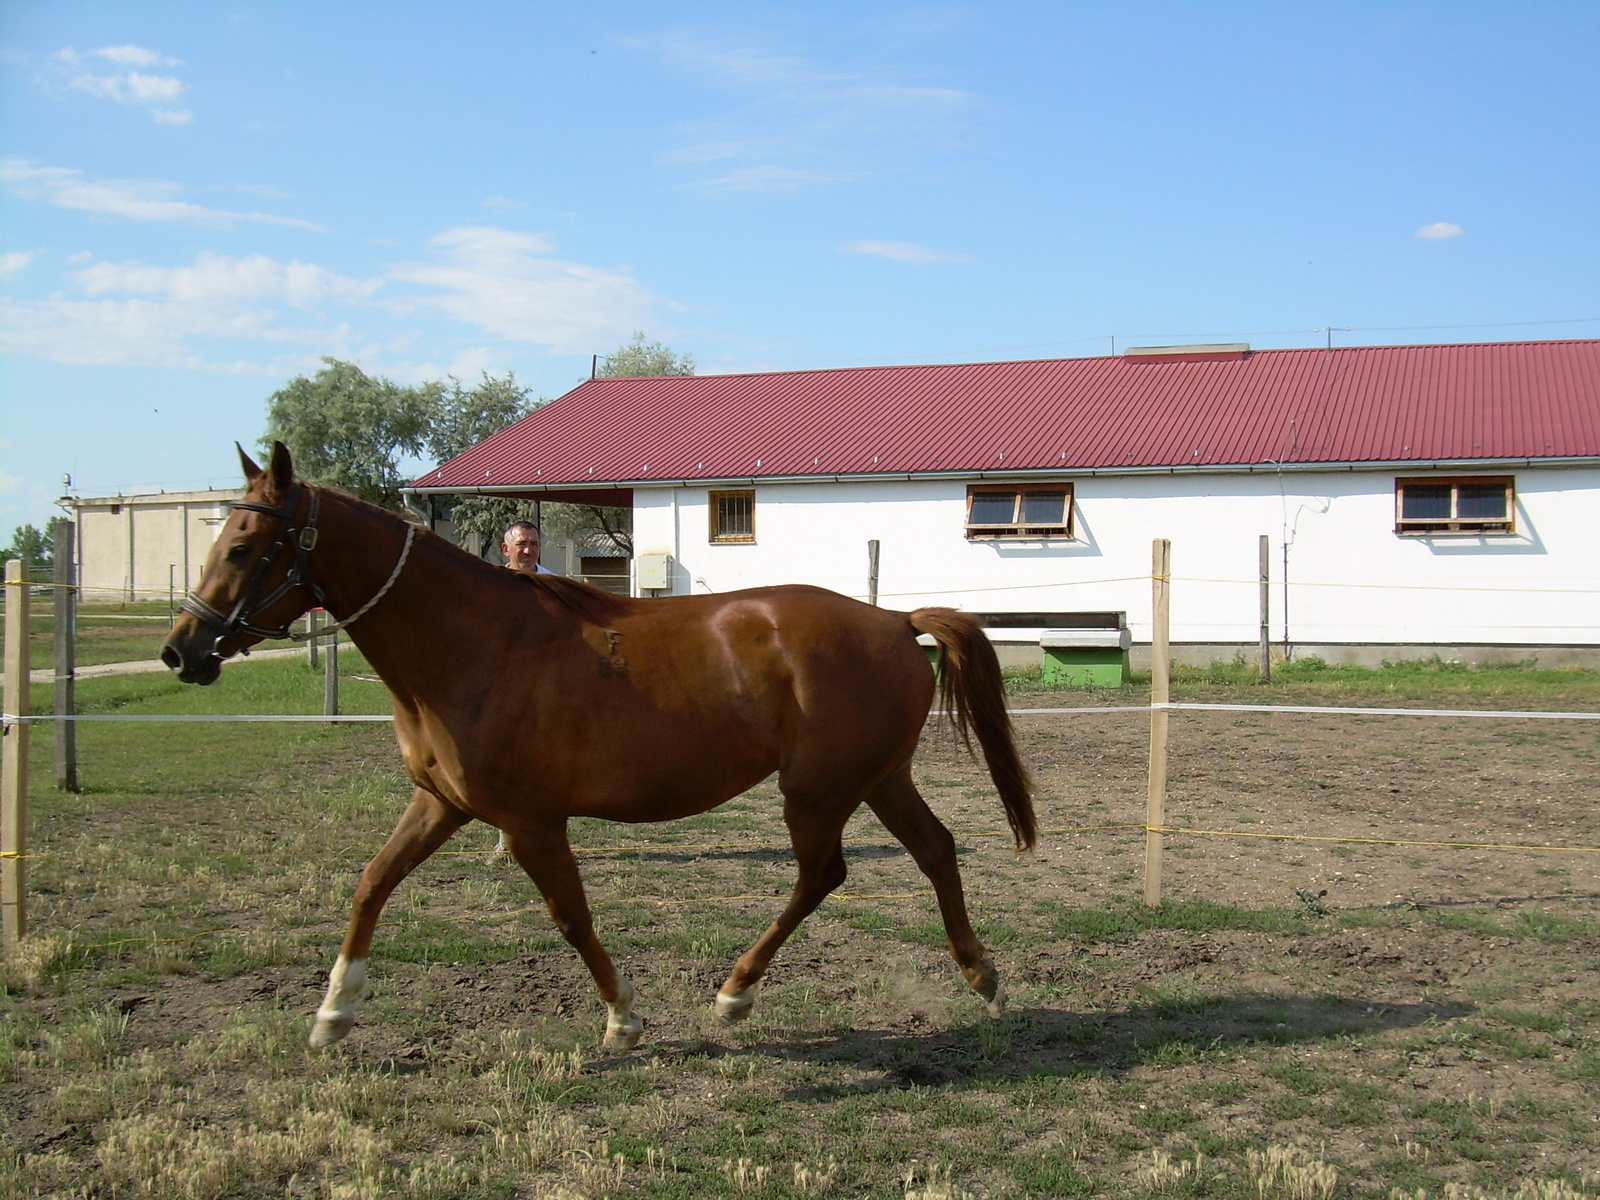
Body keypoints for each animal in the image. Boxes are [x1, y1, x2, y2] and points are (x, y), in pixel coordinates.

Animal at [162, 444, 1036, 1049]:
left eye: (244, 547)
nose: (182, 650)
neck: (474, 646)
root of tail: (892, 621)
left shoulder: (530, 824)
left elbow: (571, 917)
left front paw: (624, 1019)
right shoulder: (441, 804)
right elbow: (372, 884)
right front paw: (333, 1015)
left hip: (817, 791)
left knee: (824, 876)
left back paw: (736, 993)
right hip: (878, 777)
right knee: (935, 850)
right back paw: (983, 978)